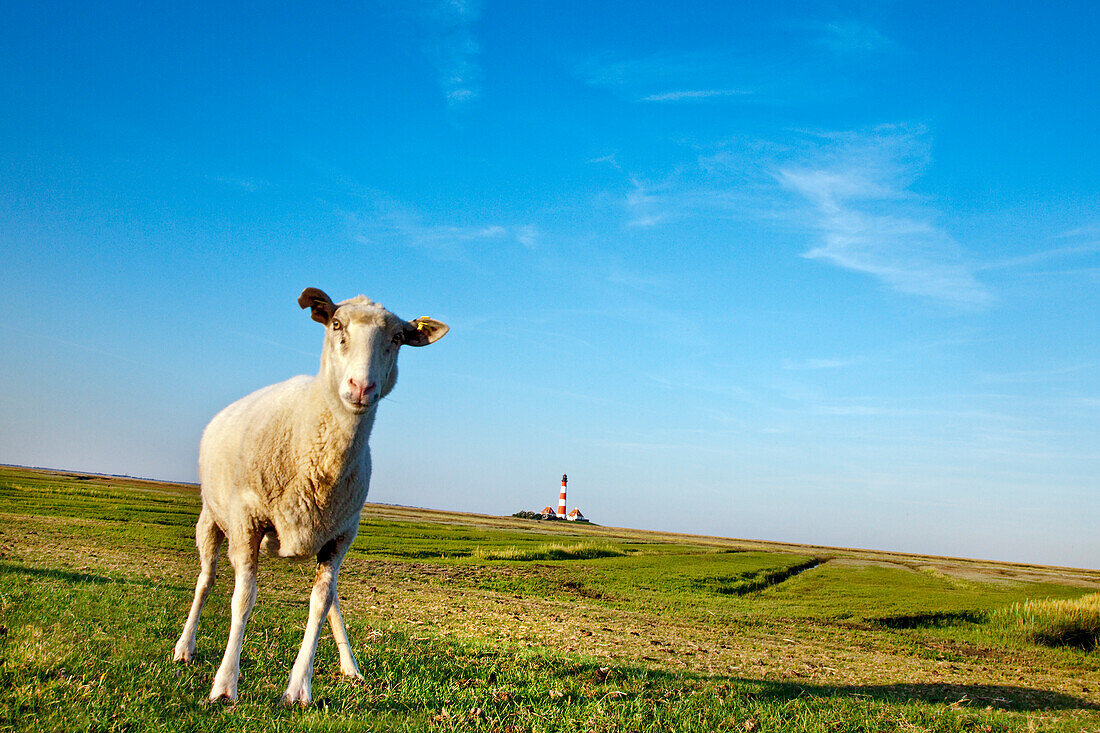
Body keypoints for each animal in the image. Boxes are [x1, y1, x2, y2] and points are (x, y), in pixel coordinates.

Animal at [171, 286, 446, 704]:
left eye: (398, 338)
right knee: (206, 579)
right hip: (211, 517)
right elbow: (243, 598)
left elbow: (320, 603)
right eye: (336, 325)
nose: (361, 387)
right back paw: (184, 647)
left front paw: (299, 687)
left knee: (331, 598)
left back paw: (351, 668)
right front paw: (225, 685)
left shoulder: (342, 535)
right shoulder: (247, 520)